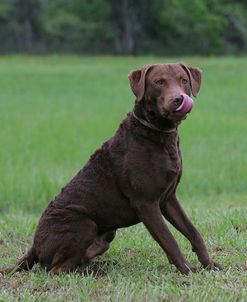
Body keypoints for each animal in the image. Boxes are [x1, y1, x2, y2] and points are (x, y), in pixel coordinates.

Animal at [0, 62, 224, 274]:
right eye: (159, 82)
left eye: (183, 80)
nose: (178, 98)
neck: (157, 133)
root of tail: (34, 247)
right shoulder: (146, 203)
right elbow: (169, 240)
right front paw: (187, 271)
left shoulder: (168, 198)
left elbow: (193, 232)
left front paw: (209, 264)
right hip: (84, 224)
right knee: (57, 269)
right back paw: (96, 272)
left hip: (107, 234)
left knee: (77, 262)